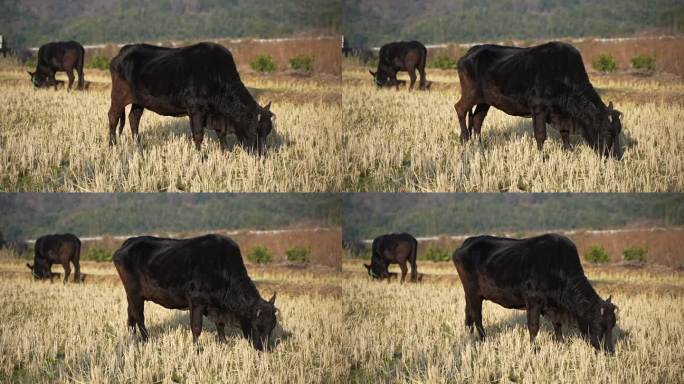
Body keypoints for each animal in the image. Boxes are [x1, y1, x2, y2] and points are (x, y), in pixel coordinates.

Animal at [108, 42, 274, 154]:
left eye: (267, 132)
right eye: (253, 130)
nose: (262, 155)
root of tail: (125, 50)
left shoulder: (217, 114)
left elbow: (221, 133)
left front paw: (225, 152)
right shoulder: (195, 109)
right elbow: (198, 135)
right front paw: (200, 157)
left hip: (139, 101)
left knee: (134, 119)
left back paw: (137, 146)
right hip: (118, 95)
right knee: (113, 117)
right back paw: (112, 145)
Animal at [113, 234, 280, 352]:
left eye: (272, 327)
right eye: (257, 326)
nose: (264, 349)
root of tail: (129, 242)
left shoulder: (216, 306)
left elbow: (220, 324)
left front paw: (224, 343)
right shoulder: (196, 300)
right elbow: (196, 327)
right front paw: (197, 349)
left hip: (132, 295)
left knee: (130, 316)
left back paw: (132, 338)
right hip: (135, 293)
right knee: (139, 317)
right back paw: (147, 339)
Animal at [452, 232, 616, 352]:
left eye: (612, 325)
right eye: (598, 325)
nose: (610, 351)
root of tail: (468, 242)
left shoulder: (554, 306)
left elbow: (557, 325)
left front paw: (561, 344)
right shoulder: (533, 301)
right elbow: (533, 327)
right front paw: (533, 349)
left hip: (469, 294)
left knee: (468, 315)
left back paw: (469, 337)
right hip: (473, 292)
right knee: (477, 316)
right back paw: (483, 340)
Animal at [456, 41, 624, 158]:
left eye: (618, 132)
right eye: (606, 132)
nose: (616, 157)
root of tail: (470, 52)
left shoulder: (562, 114)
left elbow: (565, 133)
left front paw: (569, 151)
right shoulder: (538, 108)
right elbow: (541, 135)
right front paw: (541, 156)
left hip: (485, 101)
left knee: (477, 120)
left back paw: (478, 145)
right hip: (470, 94)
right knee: (460, 109)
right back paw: (464, 139)